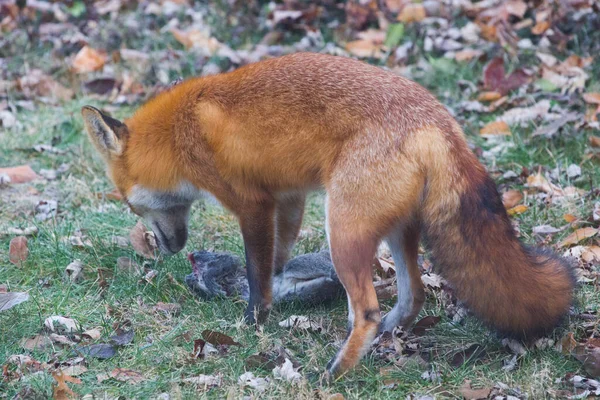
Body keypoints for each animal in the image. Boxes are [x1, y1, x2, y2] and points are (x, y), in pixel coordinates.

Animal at [82, 51, 576, 376]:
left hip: (343, 229)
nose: (168, 248)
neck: (182, 133)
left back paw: (337, 371)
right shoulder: (288, 198)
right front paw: (280, 292)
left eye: (129, 204)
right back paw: (384, 336)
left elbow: (257, 273)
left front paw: (252, 322)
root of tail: (439, 121)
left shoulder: (252, 203)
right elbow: (276, 261)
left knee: (369, 309)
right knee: (412, 296)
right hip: (396, 230)